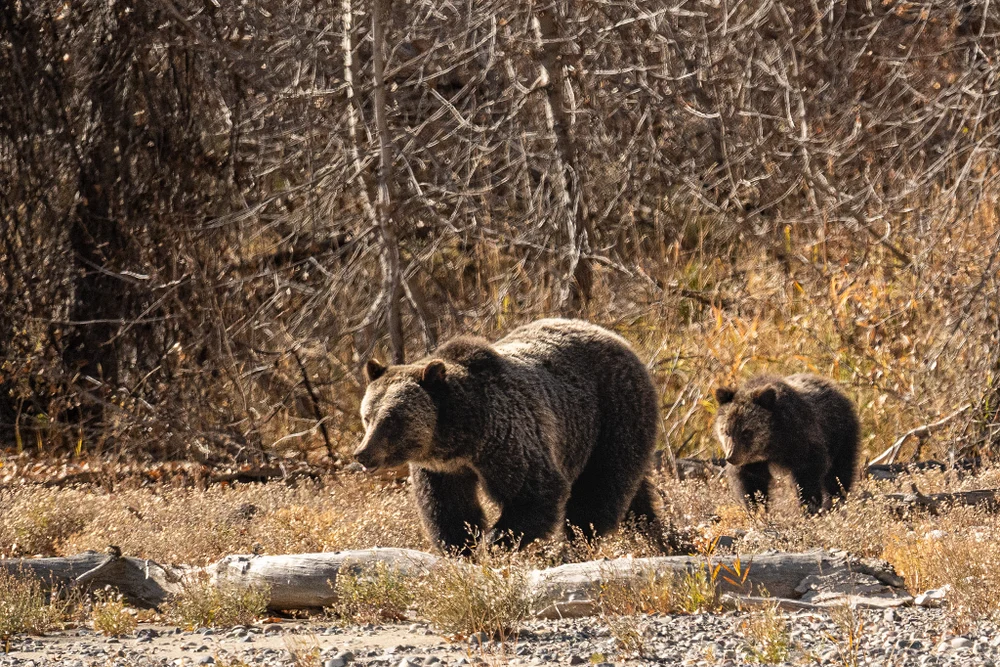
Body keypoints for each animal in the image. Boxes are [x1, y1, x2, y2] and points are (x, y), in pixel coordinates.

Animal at [354, 318, 662, 552]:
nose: (362, 454)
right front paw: (461, 548)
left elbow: (536, 493)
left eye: (392, 420)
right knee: (633, 494)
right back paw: (655, 532)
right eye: (367, 417)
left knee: (600, 486)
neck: (459, 439)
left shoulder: (506, 439)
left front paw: (494, 543)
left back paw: (577, 543)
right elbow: (449, 510)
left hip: (612, 412)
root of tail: (618, 338)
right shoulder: (441, 470)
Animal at [713, 373, 860, 513]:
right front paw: (757, 509)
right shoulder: (752, 462)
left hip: (840, 435)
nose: (731, 457)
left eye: (746, 432)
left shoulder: (803, 442)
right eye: (727, 431)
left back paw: (837, 502)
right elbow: (751, 483)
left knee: (839, 472)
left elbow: (808, 476)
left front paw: (810, 507)